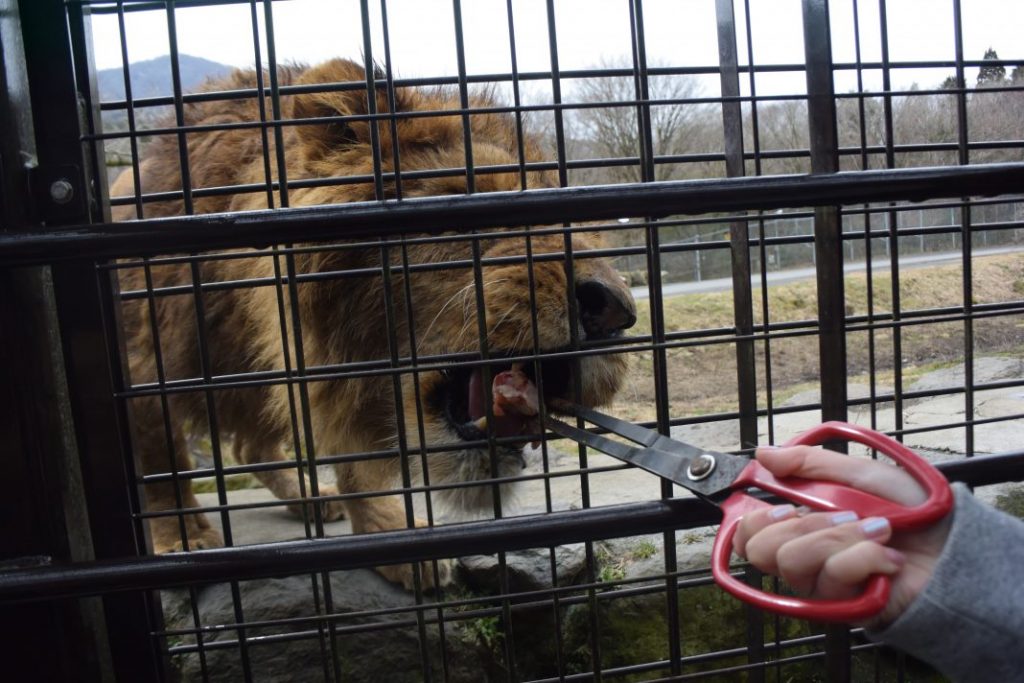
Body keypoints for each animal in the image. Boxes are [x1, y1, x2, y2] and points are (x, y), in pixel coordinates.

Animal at [114, 58, 638, 589]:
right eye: (470, 201)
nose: (617, 311)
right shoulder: (140, 361)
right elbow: (161, 453)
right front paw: (185, 541)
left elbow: (356, 467)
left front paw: (387, 532)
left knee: (248, 445)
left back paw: (310, 497)